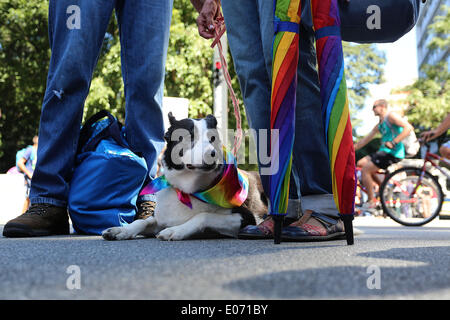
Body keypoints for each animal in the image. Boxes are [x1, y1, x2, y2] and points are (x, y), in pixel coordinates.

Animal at [102, 112, 268, 240]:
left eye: (213, 138)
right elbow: (143, 222)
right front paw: (122, 230)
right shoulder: (160, 219)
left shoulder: (245, 217)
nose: (212, 154)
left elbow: (203, 216)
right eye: (188, 136)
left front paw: (176, 230)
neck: (188, 191)